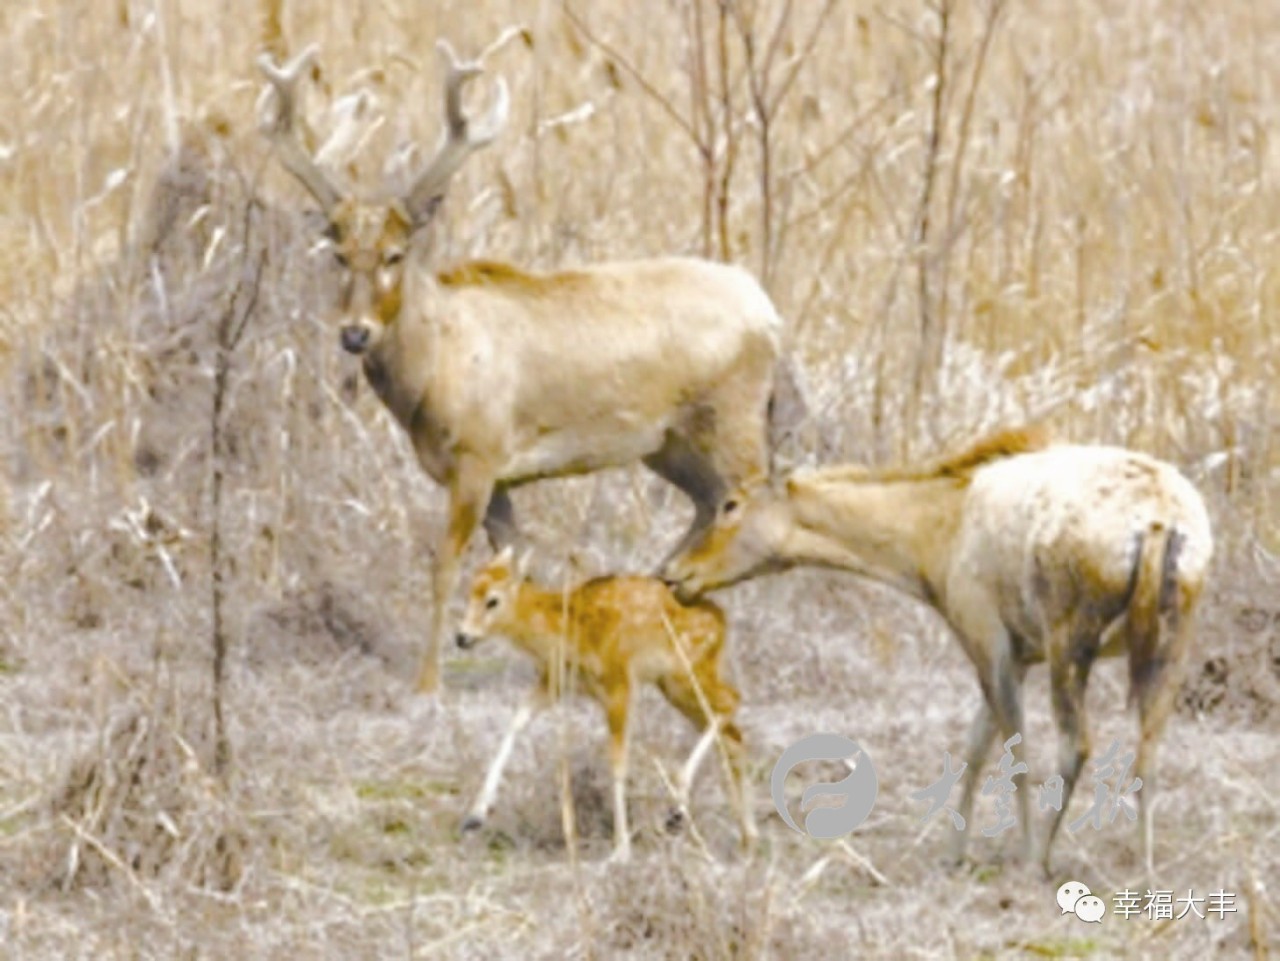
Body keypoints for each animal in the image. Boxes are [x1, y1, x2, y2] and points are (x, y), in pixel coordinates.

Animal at [258, 30, 788, 690]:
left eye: (394, 254)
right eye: (338, 255)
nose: (355, 333)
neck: (437, 368)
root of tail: (768, 311)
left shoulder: (479, 455)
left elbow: (444, 564)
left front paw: (427, 682)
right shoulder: (502, 477)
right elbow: (520, 563)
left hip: (734, 417)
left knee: (753, 503)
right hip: (669, 443)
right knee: (708, 507)